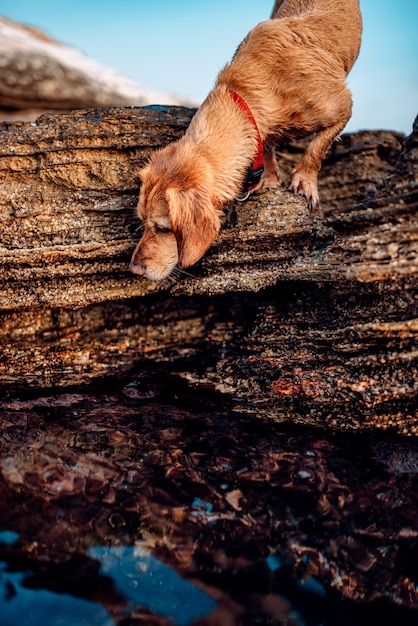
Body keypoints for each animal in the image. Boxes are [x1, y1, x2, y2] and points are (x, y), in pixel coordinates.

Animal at [131, 0, 362, 278]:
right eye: (142, 222)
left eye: (164, 228)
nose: (133, 269)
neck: (249, 94)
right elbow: (269, 148)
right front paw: (270, 178)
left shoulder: (343, 107)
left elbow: (317, 149)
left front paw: (305, 181)